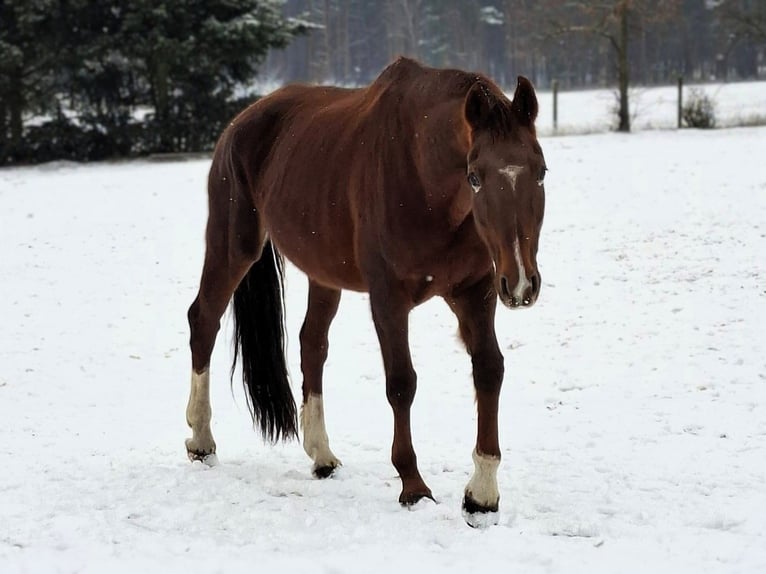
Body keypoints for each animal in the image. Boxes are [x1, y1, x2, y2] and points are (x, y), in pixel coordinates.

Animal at [185, 56, 546, 527]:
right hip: (233, 247)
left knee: (311, 344)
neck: (424, 175)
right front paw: (413, 486)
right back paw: (201, 440)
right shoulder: (388, 299)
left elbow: (489, 370)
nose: (521, 282)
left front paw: (482, 494)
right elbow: (401, 383)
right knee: (204, 321)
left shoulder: (476, 292)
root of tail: (239, 122)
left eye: (541, 172)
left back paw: (321, 455)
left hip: (323, 274)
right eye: (474, 177)